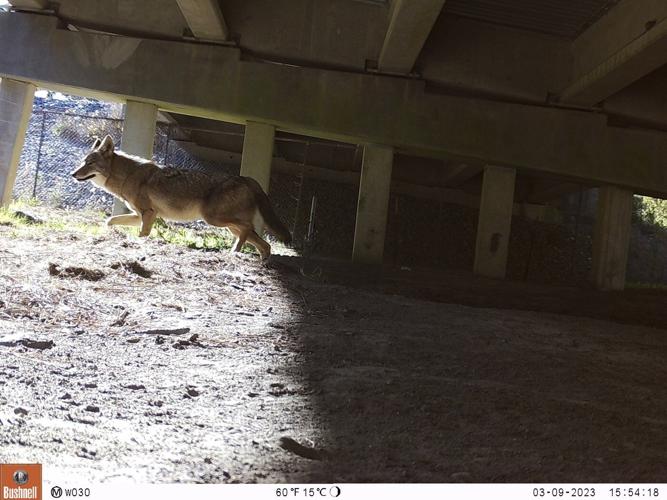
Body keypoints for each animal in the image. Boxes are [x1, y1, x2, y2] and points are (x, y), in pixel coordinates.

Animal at [71, 135, 291, 260]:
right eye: (83, 162)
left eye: (90, 163)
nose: (73, 174)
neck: (127, 176)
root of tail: (246, 178)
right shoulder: (140, 215)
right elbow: (109, 221)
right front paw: (106, 234)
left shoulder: (148, 214)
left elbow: (142, 235)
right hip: (228, 226)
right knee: (265, 244)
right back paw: (260, 260)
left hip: (214, 220)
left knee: (249, 230)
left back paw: (235, 251)